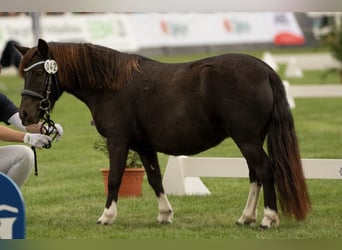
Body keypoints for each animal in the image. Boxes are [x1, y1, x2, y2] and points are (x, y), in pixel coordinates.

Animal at [15, 39, 310, 229]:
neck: (112, 86)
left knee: (265, 171)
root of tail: (266, 71)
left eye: (40, 72)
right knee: (254, 175)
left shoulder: (118, 142)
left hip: (247, 140)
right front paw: (165, 214)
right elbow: (155, 179)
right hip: (249, 140)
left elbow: (115, 179)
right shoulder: (144, 146)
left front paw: (107, 216)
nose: (25, 115)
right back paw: (245, 218)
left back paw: (268, 219)